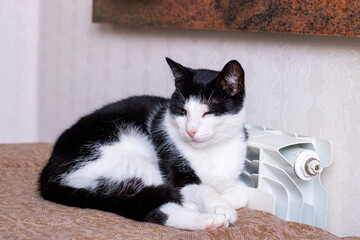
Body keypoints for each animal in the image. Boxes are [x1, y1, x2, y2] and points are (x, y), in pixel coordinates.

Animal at [38, 58, 248, 231]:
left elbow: (241, 192)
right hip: (125, 161)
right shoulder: (173, 172)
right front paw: (219, 206)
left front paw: (224, 200)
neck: (211, 150)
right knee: (148, 206)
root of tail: (48, 169)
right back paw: (208, 221)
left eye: (209, 112)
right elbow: (200, 188)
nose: (191, 131)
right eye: (182, 111)